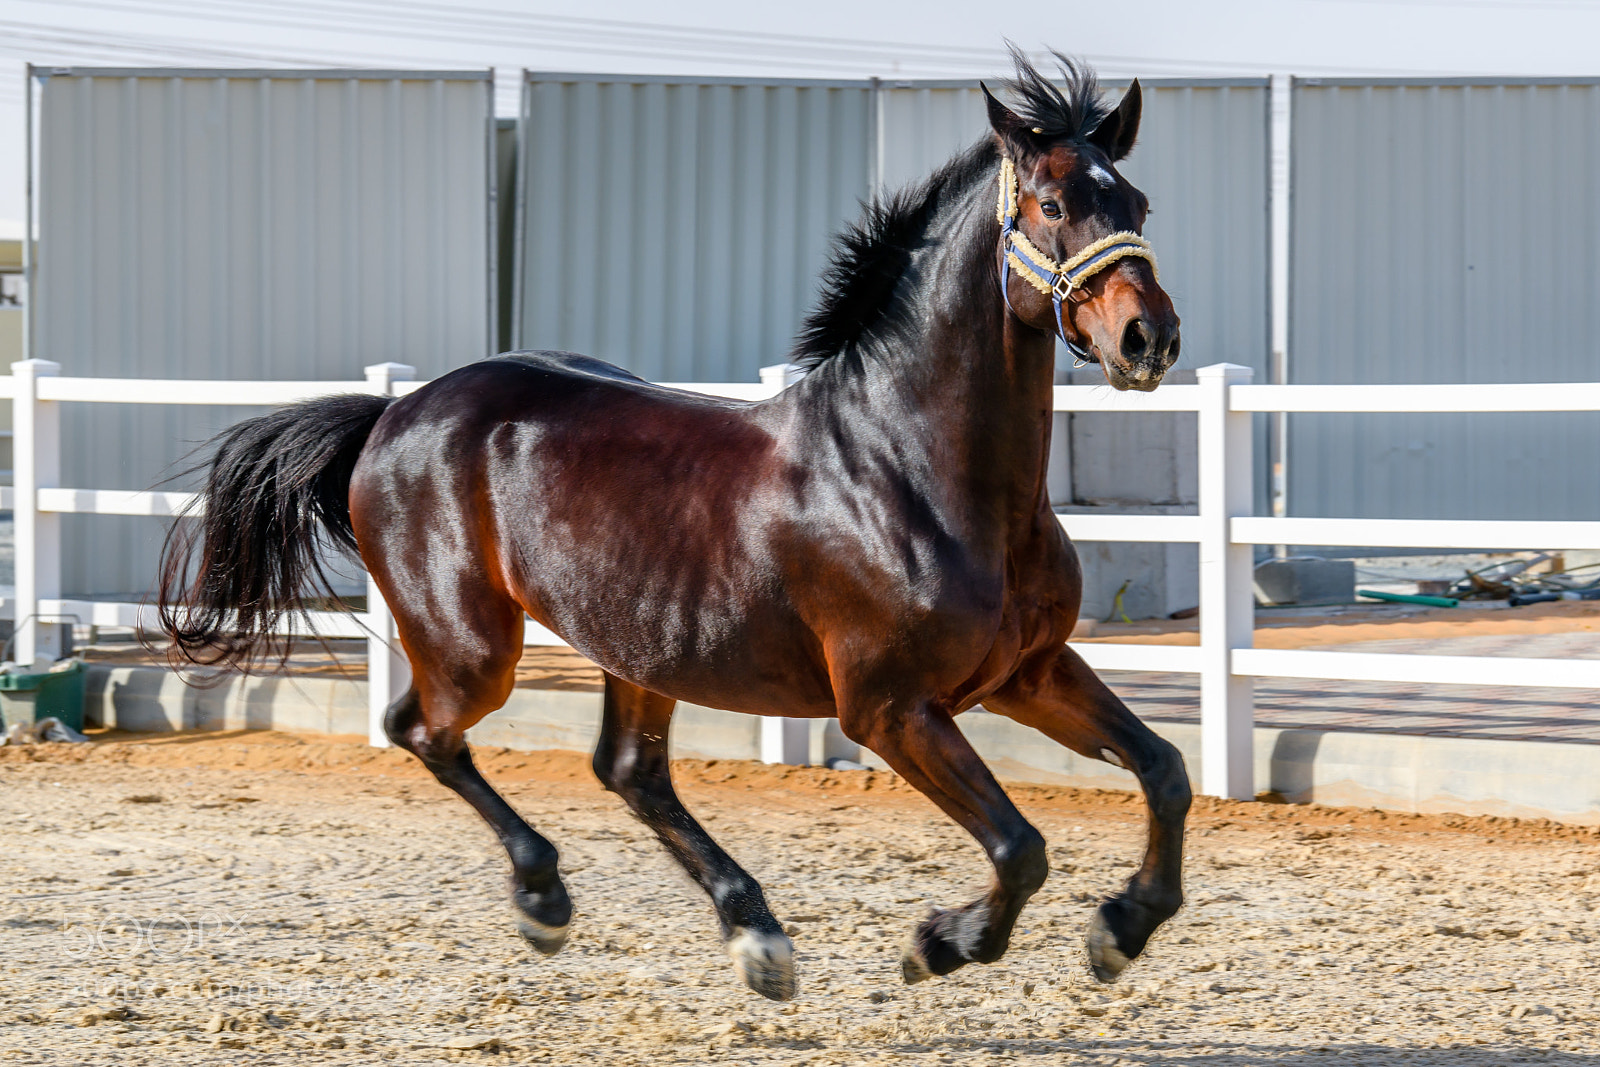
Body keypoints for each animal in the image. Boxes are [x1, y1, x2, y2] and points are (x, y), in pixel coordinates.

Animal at [158, 51, 1186, 1003]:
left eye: (1136, 198)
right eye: (1051, 203)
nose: (1150, 338)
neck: (913, 469)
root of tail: (392, 414)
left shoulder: (1026, 672)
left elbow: (1165, 768)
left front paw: (1122, 926)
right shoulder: (890, 707)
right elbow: (1020, 846)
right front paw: (943, 942)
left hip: (636, 645)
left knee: (628, 770)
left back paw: (755, 935)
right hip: (471, 647)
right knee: (424, 729)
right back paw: (547, 901)